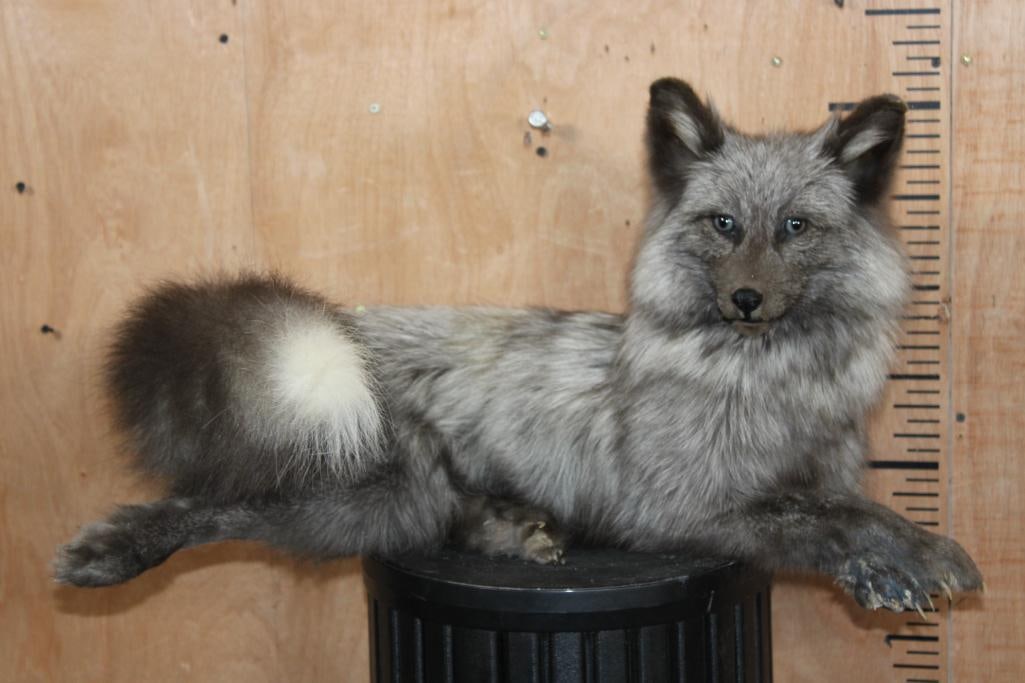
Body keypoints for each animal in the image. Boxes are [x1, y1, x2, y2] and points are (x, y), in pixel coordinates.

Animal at [54, 78, 982, 615]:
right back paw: (110, 550)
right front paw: (897, 558)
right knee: (215, 502)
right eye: (723, 224)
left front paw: (902, 556)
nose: (744, 300)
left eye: (794, 227)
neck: (772, 381)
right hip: (364, 489)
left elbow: (845, 506)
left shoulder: (815, 473)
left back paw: (516, 528)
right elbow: (813, 519)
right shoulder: (680, 508)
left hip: (400, 496)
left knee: (444, 520)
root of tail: (349, 325)